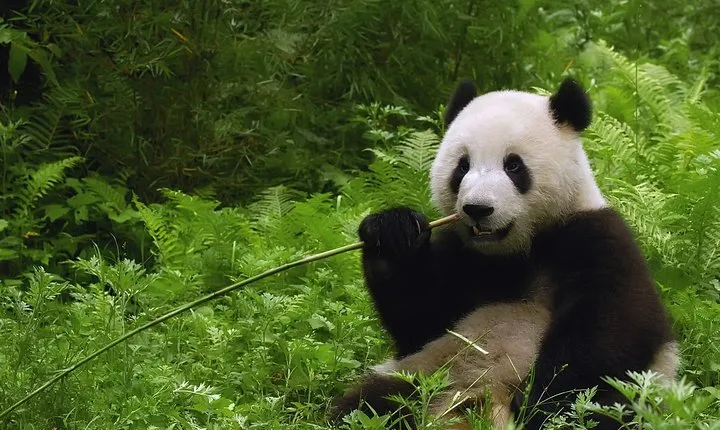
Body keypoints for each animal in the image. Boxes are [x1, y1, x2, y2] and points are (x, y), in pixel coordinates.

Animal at [328, 78, 679, 430]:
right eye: (462, 167)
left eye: (513, 165)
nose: (477, 209)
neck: (517, 250)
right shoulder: (462, 256)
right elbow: (420, 320)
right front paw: (392, 233)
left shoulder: (594, 238)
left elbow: (611, 327)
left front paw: (538, 401)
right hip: (426, 373)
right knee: (368, 405)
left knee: (604, 409)